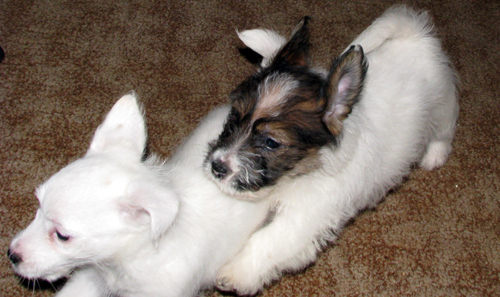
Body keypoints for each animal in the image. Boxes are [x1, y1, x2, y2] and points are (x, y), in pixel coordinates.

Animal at [203, 5, 458, 294]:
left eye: (271, 142)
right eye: (234, 117)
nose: (217, 167)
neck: (304, 170)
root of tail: (415, 35)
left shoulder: (305, 216)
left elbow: (269, 241)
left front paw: (236, 272)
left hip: (442, 107)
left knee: (444, 131)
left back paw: (435, 155)